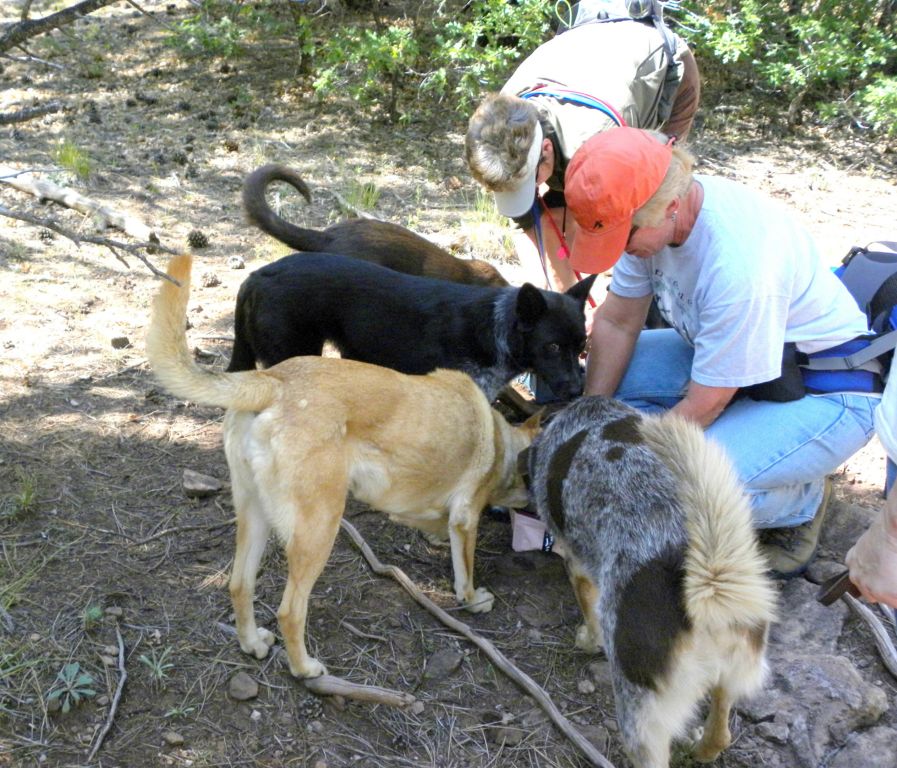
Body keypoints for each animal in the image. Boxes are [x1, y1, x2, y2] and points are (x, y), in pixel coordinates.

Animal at [146, 253, 540, 679]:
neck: (500, 439)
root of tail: (273, 381)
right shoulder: (466, 519)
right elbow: (464, 567)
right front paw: (472, 598)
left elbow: (434, 524)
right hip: (319, 529)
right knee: (290, 611)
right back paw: (305, 669)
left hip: (255, 514)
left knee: (239, 584)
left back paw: (251, 643)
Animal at [523, 397, 776, 768]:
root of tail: (705, 586)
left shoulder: (576, 562)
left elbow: (589, 612)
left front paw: (587, 640)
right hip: (730, 671)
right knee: (720, 732)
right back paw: (700, 749)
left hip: (641, 715)